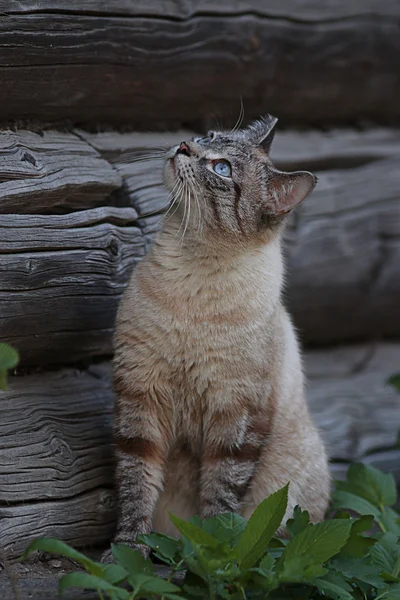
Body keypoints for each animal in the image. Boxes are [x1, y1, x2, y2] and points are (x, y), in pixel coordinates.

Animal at [101, 115, 330, 560]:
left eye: (221, 168)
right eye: (206, 136)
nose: (184, 146)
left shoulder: (236, 417)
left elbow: (220, 502)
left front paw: (211, 555)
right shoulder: (142, 396)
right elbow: (136, 489)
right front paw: (128, 553)